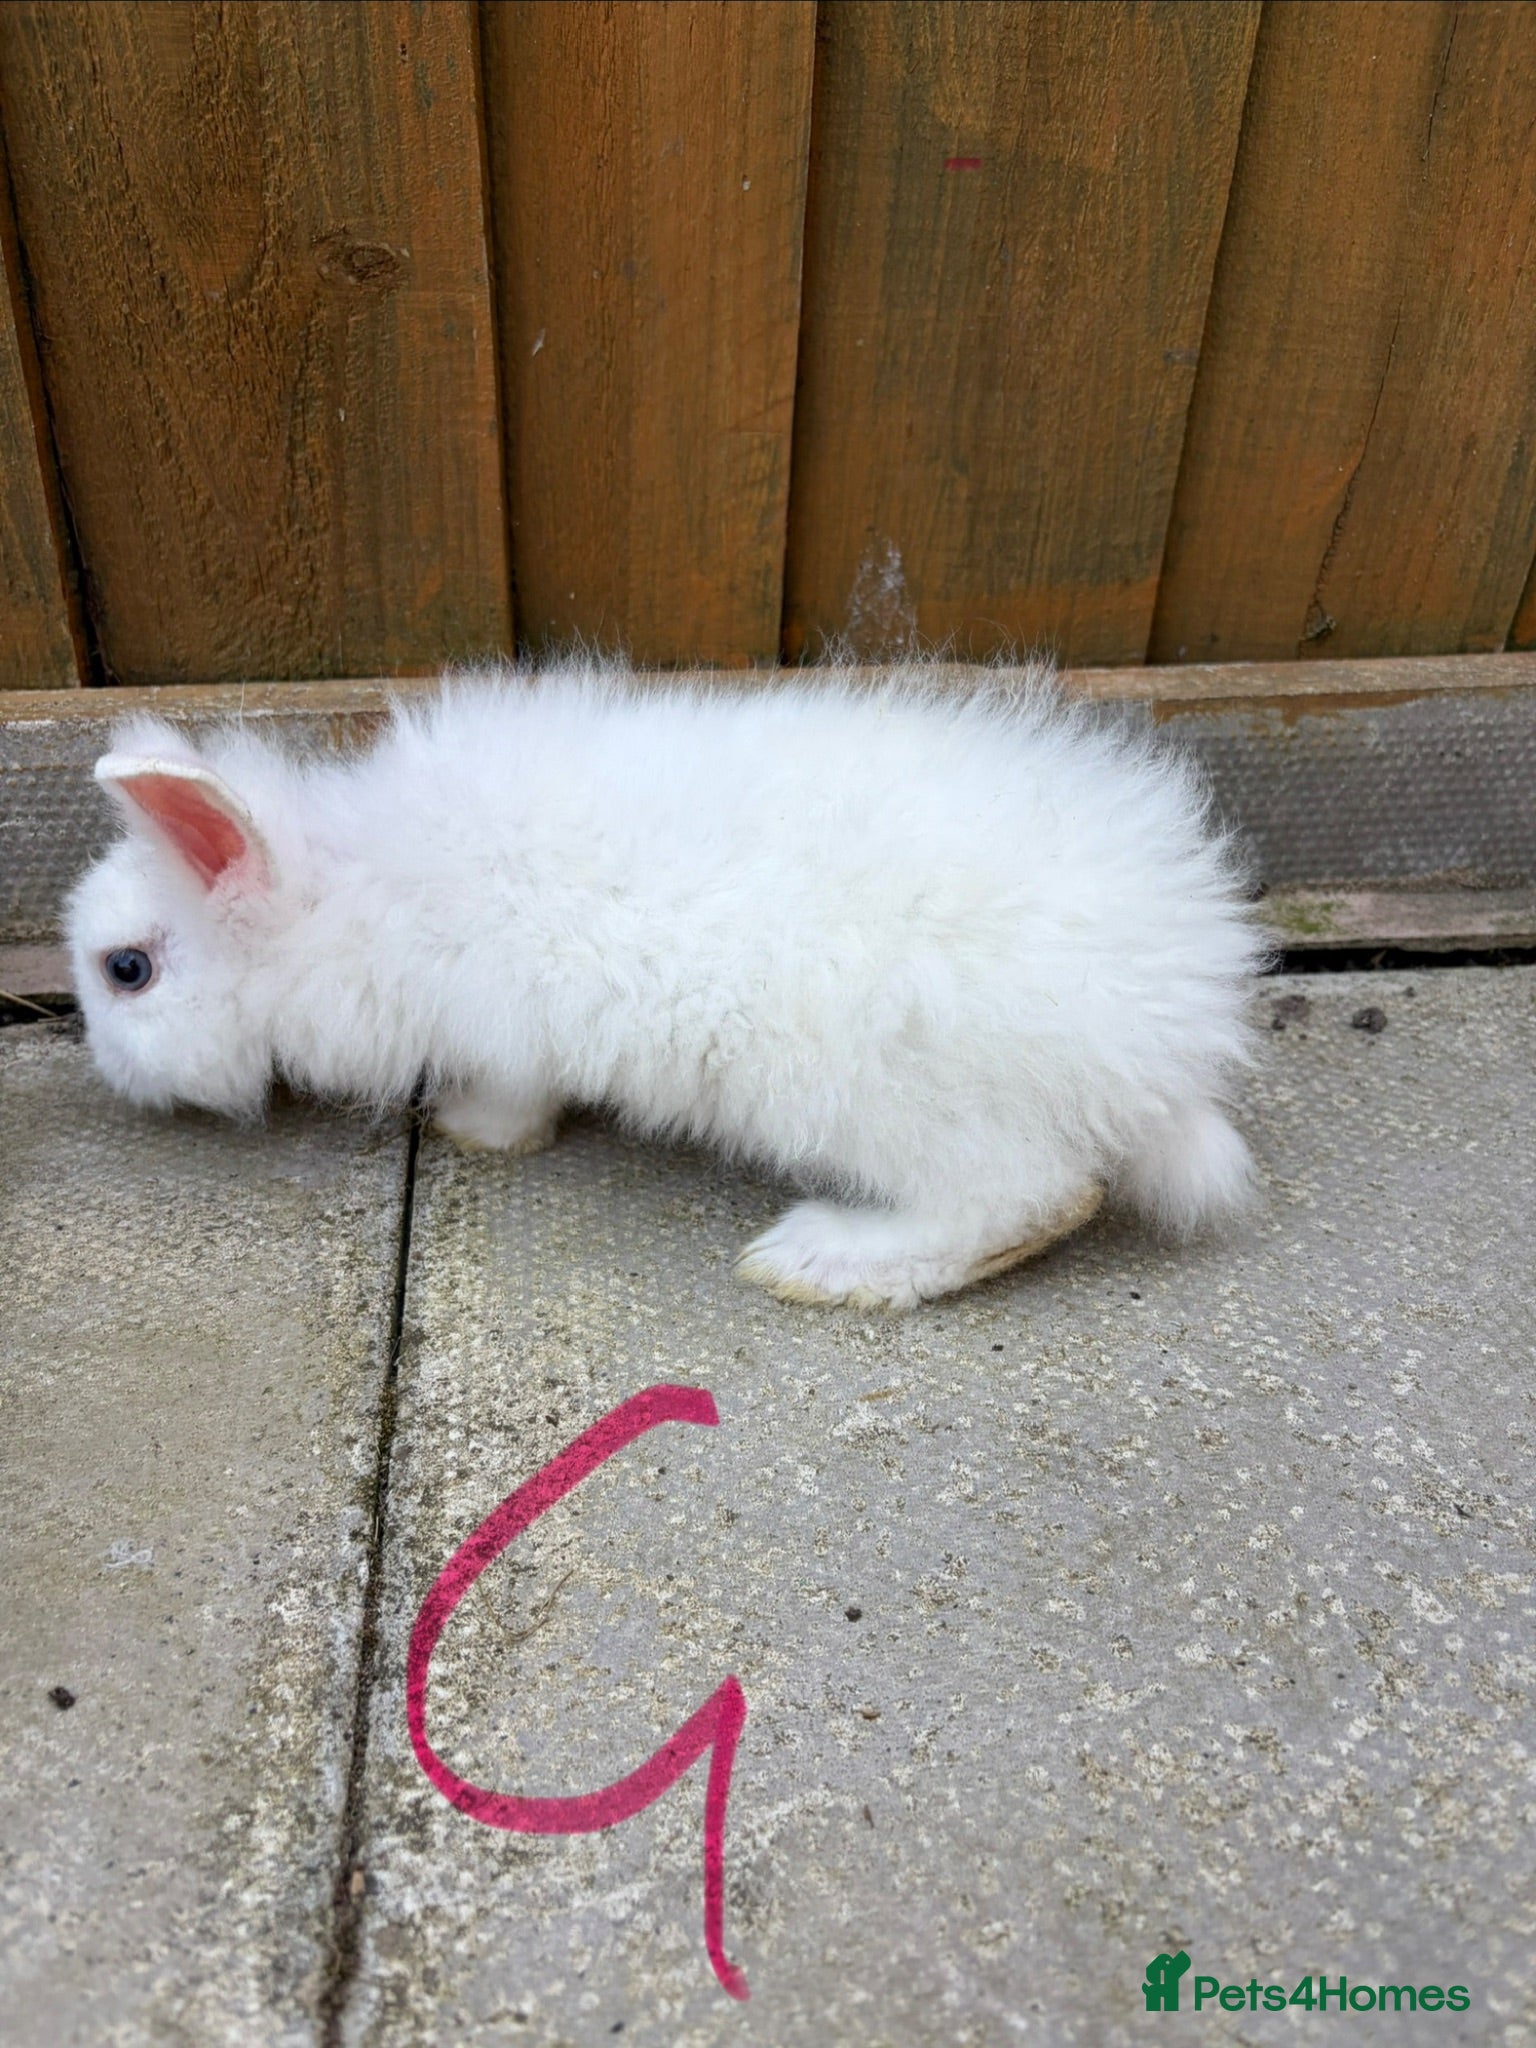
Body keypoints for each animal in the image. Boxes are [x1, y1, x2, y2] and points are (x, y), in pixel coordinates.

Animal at [66, 657, 1266, 1309]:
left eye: (127, 971)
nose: (104, 1071)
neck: (348, 894)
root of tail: (1171, 1035)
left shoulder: (505, 1025)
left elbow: (514, 1098)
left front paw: (469, 1132)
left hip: (889, 1098)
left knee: (1034, 1196)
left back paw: (822, 1260)